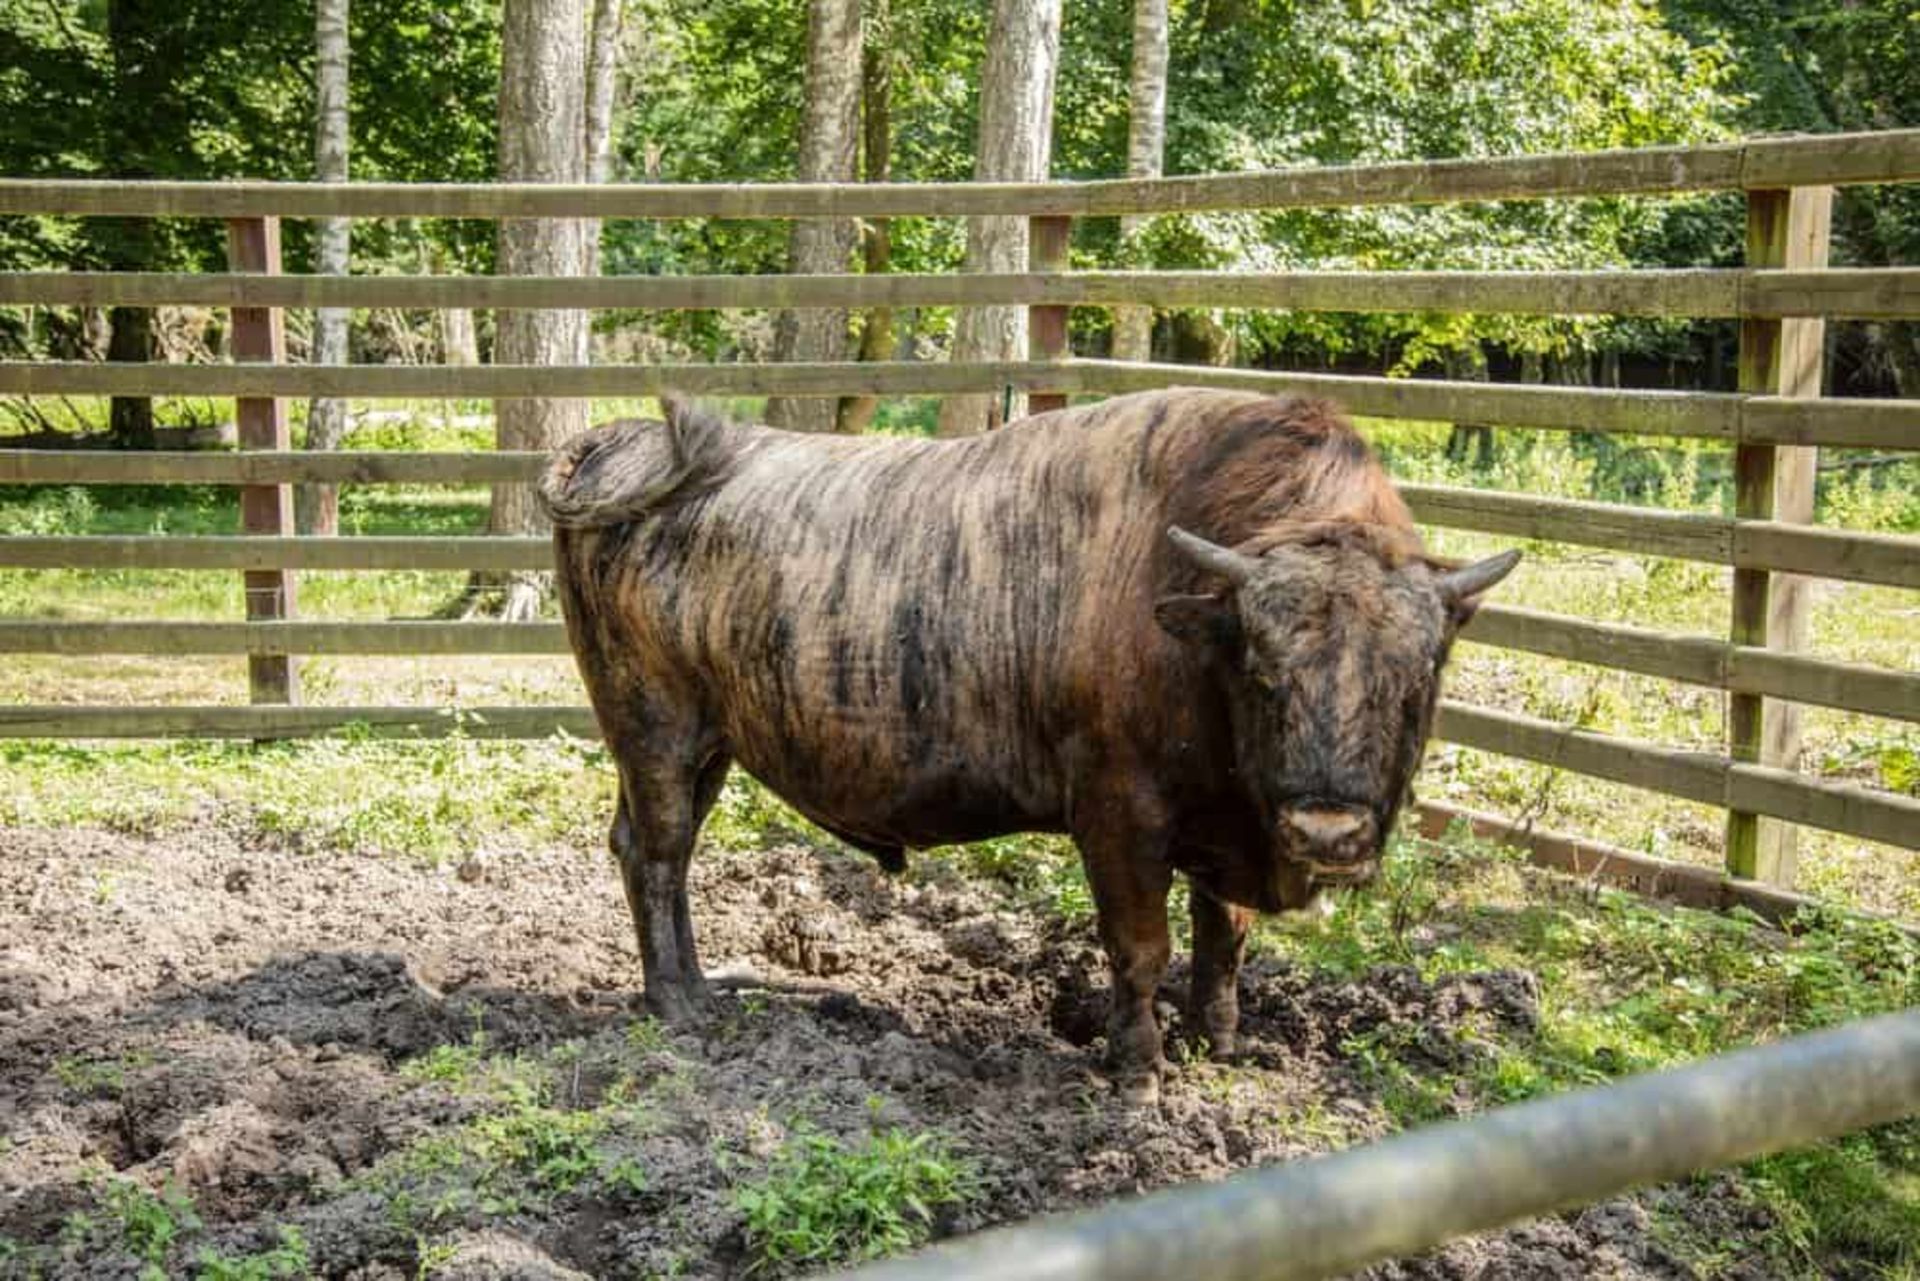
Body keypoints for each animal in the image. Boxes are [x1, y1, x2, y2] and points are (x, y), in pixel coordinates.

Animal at [537, 391, 1512, 1106]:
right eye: (1264, 670)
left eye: (1415, 677)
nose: (1326, 833)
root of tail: (627, 442)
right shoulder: (1120, 818)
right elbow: (1141, 946)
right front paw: (1140, 1068)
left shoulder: (1231, 821)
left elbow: (1223, 938)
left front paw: (1223, 1041)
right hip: (656, 731)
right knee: (657, 853)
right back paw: (678, 1002)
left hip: (710, 746)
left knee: (656, 851)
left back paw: (700, 985)